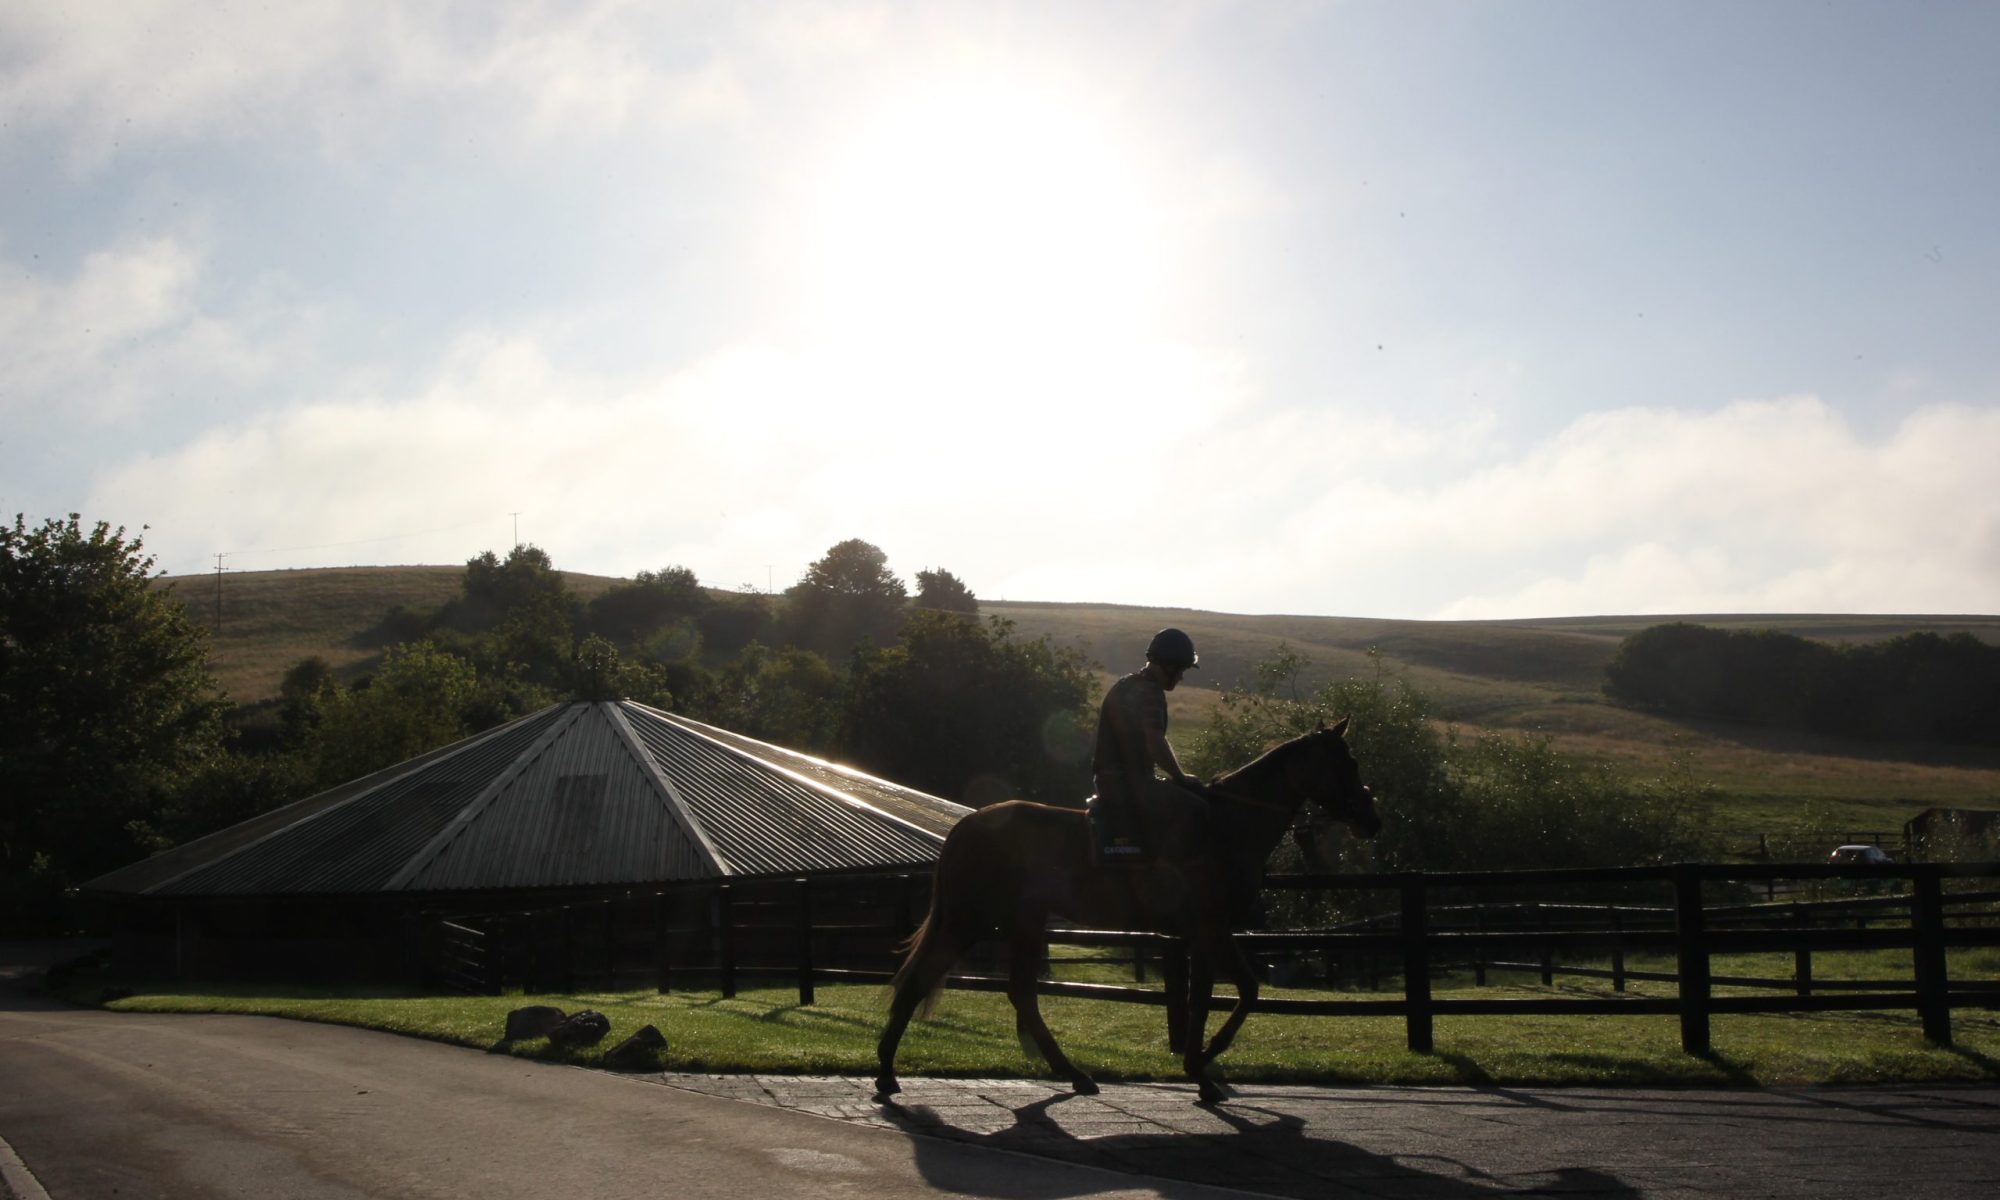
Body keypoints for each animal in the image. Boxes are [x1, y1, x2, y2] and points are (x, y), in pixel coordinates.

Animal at [876, 716, 1376, 1104]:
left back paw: (1072, 1073)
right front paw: (1205, 1061)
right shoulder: (1210, 930)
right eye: (1348, 763)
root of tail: (967, 825)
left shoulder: (1205, 935)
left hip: (1023, 924)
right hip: (969, 920)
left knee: (1020, 994)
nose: (1370, 817)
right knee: (921, 980)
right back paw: (885, 1073)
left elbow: (1216, 997)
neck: (1227, 825)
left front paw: (1201, 1067)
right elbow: (1235, 995)